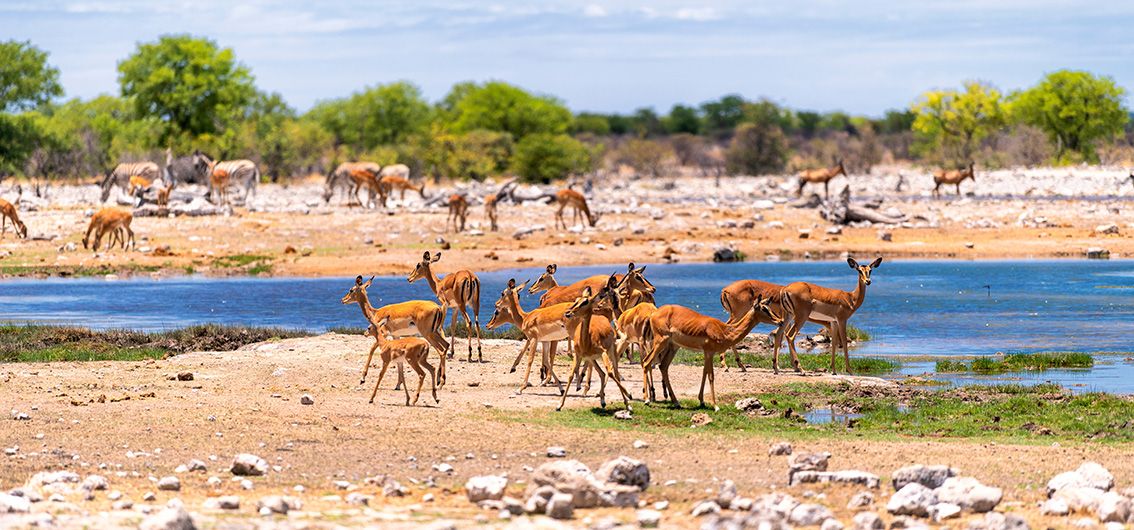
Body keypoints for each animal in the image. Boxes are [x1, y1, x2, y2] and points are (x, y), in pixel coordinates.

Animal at [560, 283, 639, 413]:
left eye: (585, 302)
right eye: (577, 300)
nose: (568, 312)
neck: (586, 342)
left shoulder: (602, 352)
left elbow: (610, 373)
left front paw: (629, 398)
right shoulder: (579, 355)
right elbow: (571, 375)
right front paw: (559, 405)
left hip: (610, 352)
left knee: (614, 373)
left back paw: (627, 401)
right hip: (592, 358)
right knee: (602, 373)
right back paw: (602, 401)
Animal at [644, 297, 784, 413]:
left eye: (769, 307)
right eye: (764, 309)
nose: (781, 321)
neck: (725, 331)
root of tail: (653, 314)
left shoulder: (707, 353)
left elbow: (704, 373)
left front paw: (702, 401)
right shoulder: (709, 352)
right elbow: (711, 376)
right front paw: (716, 406)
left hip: (673, 346)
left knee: (663, 366)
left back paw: (676, 403)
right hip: (660, 341)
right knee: (646, 362)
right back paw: (647, 400)